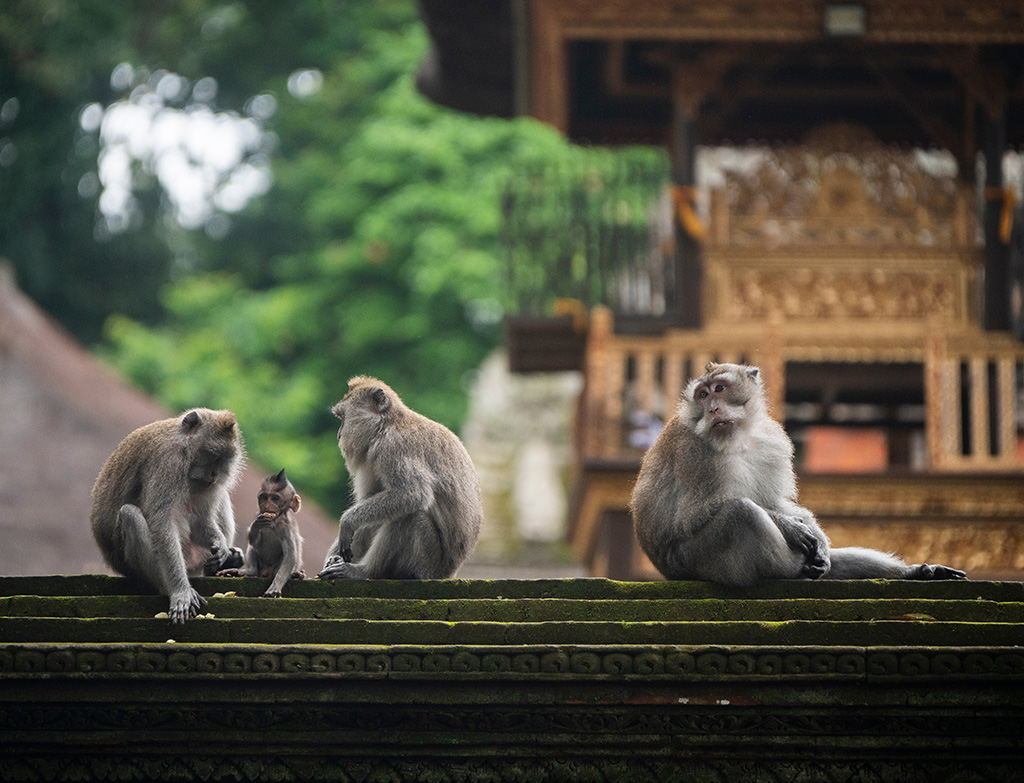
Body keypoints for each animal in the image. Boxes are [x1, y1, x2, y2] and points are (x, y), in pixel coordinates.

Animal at [90, 408, 246, 623]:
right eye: (213, 455)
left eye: (224, 460)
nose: (214, 475)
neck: (184, 447)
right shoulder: (168, 461)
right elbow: (162, 523)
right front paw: (180, 592)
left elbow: (200, 522)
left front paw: (220, 545)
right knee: (131, 516)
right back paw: (169, 588)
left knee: (221, 496)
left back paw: (225, 563)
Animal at [217, 468, 305, 597]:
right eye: (264, 497)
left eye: (275, 498)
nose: (267, 505)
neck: (273, 522)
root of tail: (265, 572)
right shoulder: (259, 515)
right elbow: (255, 543)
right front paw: (256, 525)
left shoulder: (285, 528)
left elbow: (289, 556)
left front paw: (274, 588)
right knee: (253, 550)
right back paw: (247, 572)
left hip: (273, 569)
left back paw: (294, 575)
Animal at [318, 376, 483, 580]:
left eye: (343, 417)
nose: (339, 435)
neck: (387, 424)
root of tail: (449, 572)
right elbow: (370, 500)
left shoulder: (395, 448)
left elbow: (412, 494)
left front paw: (347, 521)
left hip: (427, 564)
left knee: (409, 515)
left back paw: (364, 571)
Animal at [630, 362, 967, 586]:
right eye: (702, 395)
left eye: (719, 389)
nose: (712, 409)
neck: (739, 437)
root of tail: (667, 572)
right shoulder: (695, 453)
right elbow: (694, 515)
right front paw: (791, 528)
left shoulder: (772, 441)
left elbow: (776, 501)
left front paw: (813, 533)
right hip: (695, 562)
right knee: (741, 514)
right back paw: (796, 570)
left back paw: (914, 572)